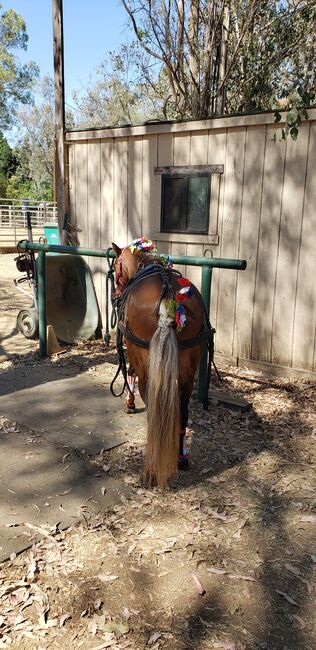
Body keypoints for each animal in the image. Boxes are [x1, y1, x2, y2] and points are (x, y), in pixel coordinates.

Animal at [111, 240, 210, 484]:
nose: (116, 294)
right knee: (182, 413)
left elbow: (131, 373)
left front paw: (129, 403)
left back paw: (152, 468)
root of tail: (169, 297)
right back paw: (181, 458)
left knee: (153, 412)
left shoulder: (133, 350)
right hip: (188, 369)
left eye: (116, 267)